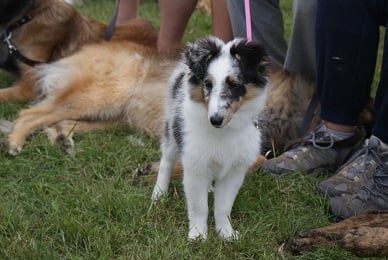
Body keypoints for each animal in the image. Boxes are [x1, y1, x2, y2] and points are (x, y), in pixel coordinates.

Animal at [152, 36, 270, 240]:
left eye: (234, 84)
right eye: (208, 84)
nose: (215, 119)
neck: (224, 131)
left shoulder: (234, 171)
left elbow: (223, 206)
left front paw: (226, 233)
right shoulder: (195, 164)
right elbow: (199, 207)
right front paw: (198, 236)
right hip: (172, 130)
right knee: (166, 161)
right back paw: (158, 193)